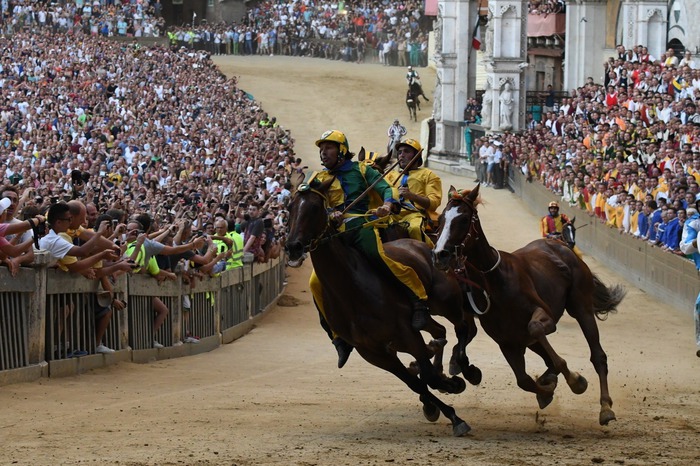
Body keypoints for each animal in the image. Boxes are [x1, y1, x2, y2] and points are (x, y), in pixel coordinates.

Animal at [286, 177, 482, 436]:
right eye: (290, 207)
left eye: (316, 208)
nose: (293, 247)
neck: (352, 290)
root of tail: (424, 246)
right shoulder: (373, 352)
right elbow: (416, 382)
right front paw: (442, 407)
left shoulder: (406, 333)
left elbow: (427, 375)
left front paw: (452, 391)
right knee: (440, 331)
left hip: (446, 302)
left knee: (463, 328)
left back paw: (465, 369)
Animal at [434, 186, 628, 426]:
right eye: (441, 219)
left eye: (462, 219)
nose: (439, 254)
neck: (494, 281)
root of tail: (562, 248)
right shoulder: (507, 341)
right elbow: (524, 380)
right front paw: (547, 390)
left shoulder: (544, 317)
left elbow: (538, 332)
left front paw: (575, 381)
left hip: (581, 306)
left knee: (598, 355)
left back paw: (605, 407)